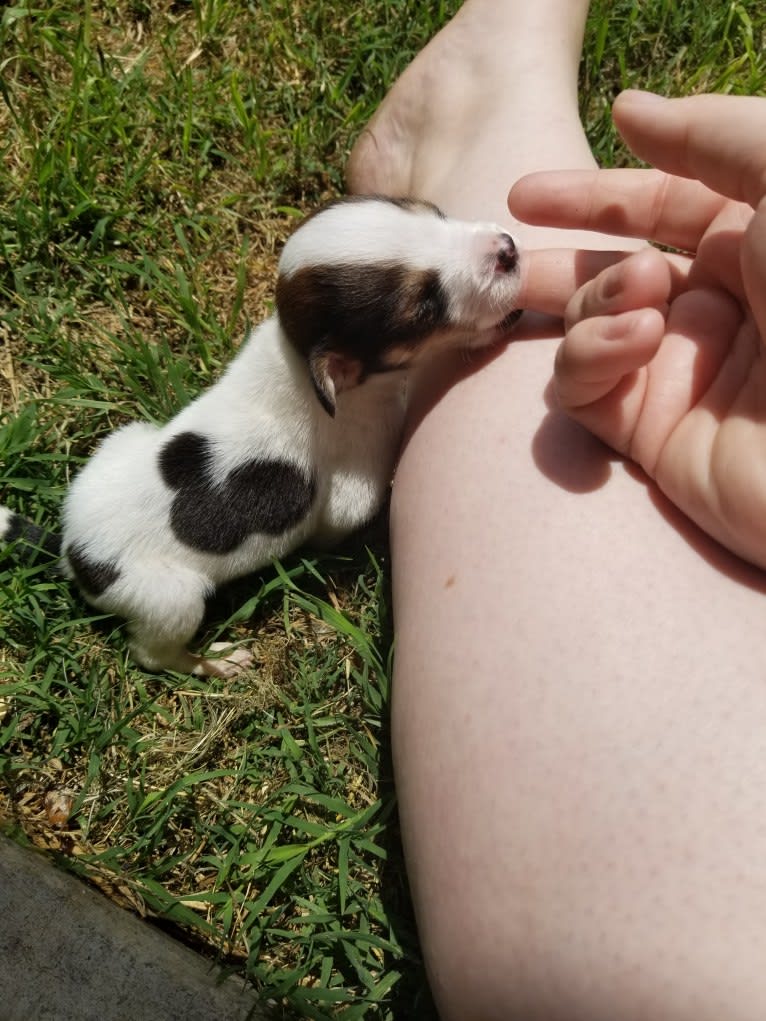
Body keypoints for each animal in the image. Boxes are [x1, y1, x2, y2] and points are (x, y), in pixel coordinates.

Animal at [0, 199, 522, 677]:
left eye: (434, 213)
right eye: (425, 307)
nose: (508, 249)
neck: (296, 356)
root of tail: (74, 551)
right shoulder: (351, 491)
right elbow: (348, 515)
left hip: (121, 441)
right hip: (170, 597)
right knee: (154, 654)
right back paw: (212, 661)